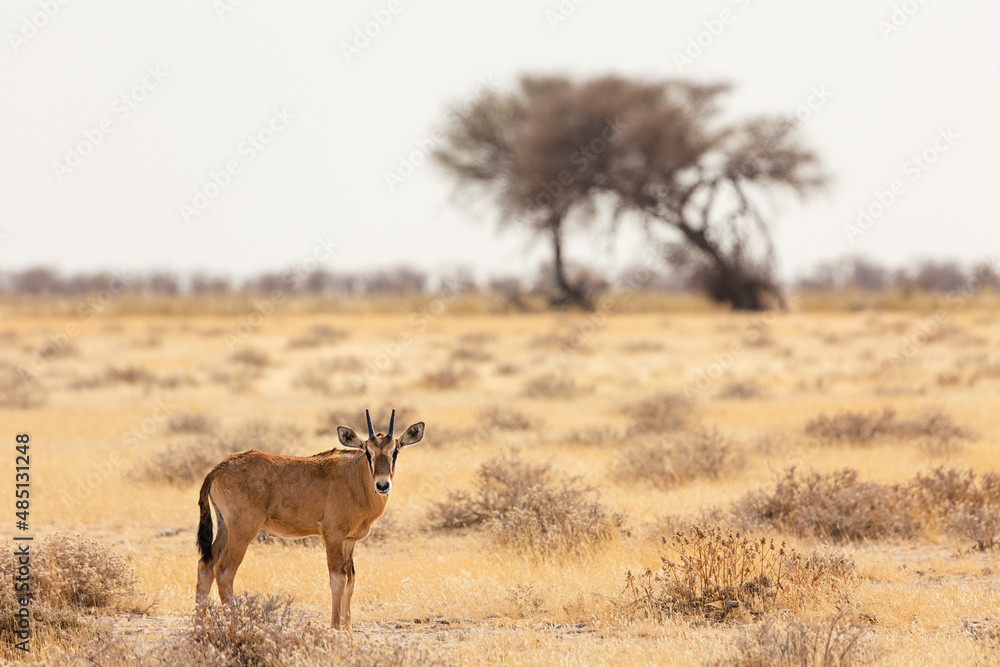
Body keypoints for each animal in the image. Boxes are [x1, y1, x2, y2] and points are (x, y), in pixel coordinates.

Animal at [195, 409, 424, 629]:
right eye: (368, 451)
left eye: (395, 451)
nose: (382, 485)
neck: (355, 479)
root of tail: (217, 470)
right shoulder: (332, 536)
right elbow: (338, 580)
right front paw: (336, 629)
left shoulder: (350, 541)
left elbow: (351, 579)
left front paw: (348, 632)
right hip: (243, 531)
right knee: (224, 571)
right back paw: (236, 625)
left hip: (225, 528)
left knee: (206, 566)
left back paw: (200, 627)